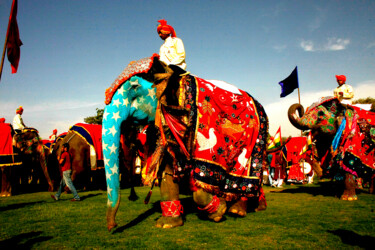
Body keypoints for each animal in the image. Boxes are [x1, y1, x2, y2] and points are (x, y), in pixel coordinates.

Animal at [102, 54, 270, 230]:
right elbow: (167, 169)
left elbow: (198, 172)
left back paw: (238, 210)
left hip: (257, 136)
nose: (113, 226)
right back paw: (254, 206)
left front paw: (219, 211)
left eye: (134, 87)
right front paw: (167, 224)